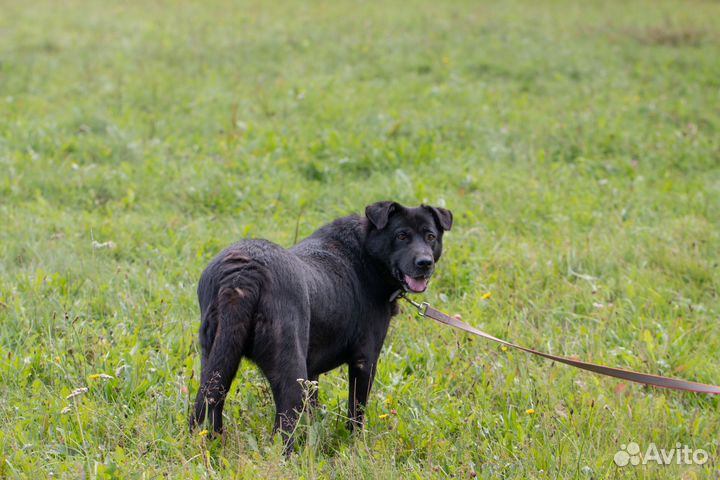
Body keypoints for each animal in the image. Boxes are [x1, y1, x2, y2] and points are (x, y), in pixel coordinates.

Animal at [188, 201, 452, 448]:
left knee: (209, 406)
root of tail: (243, 276)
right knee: (283, 429)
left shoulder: (311, 370)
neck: (368, 253)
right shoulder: (365, 361)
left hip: (216, 361)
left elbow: (313, 410)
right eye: (401, 236)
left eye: (430, 236)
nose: (425, 263)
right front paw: (356, 447)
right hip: (289, 372)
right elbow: (356, 413)